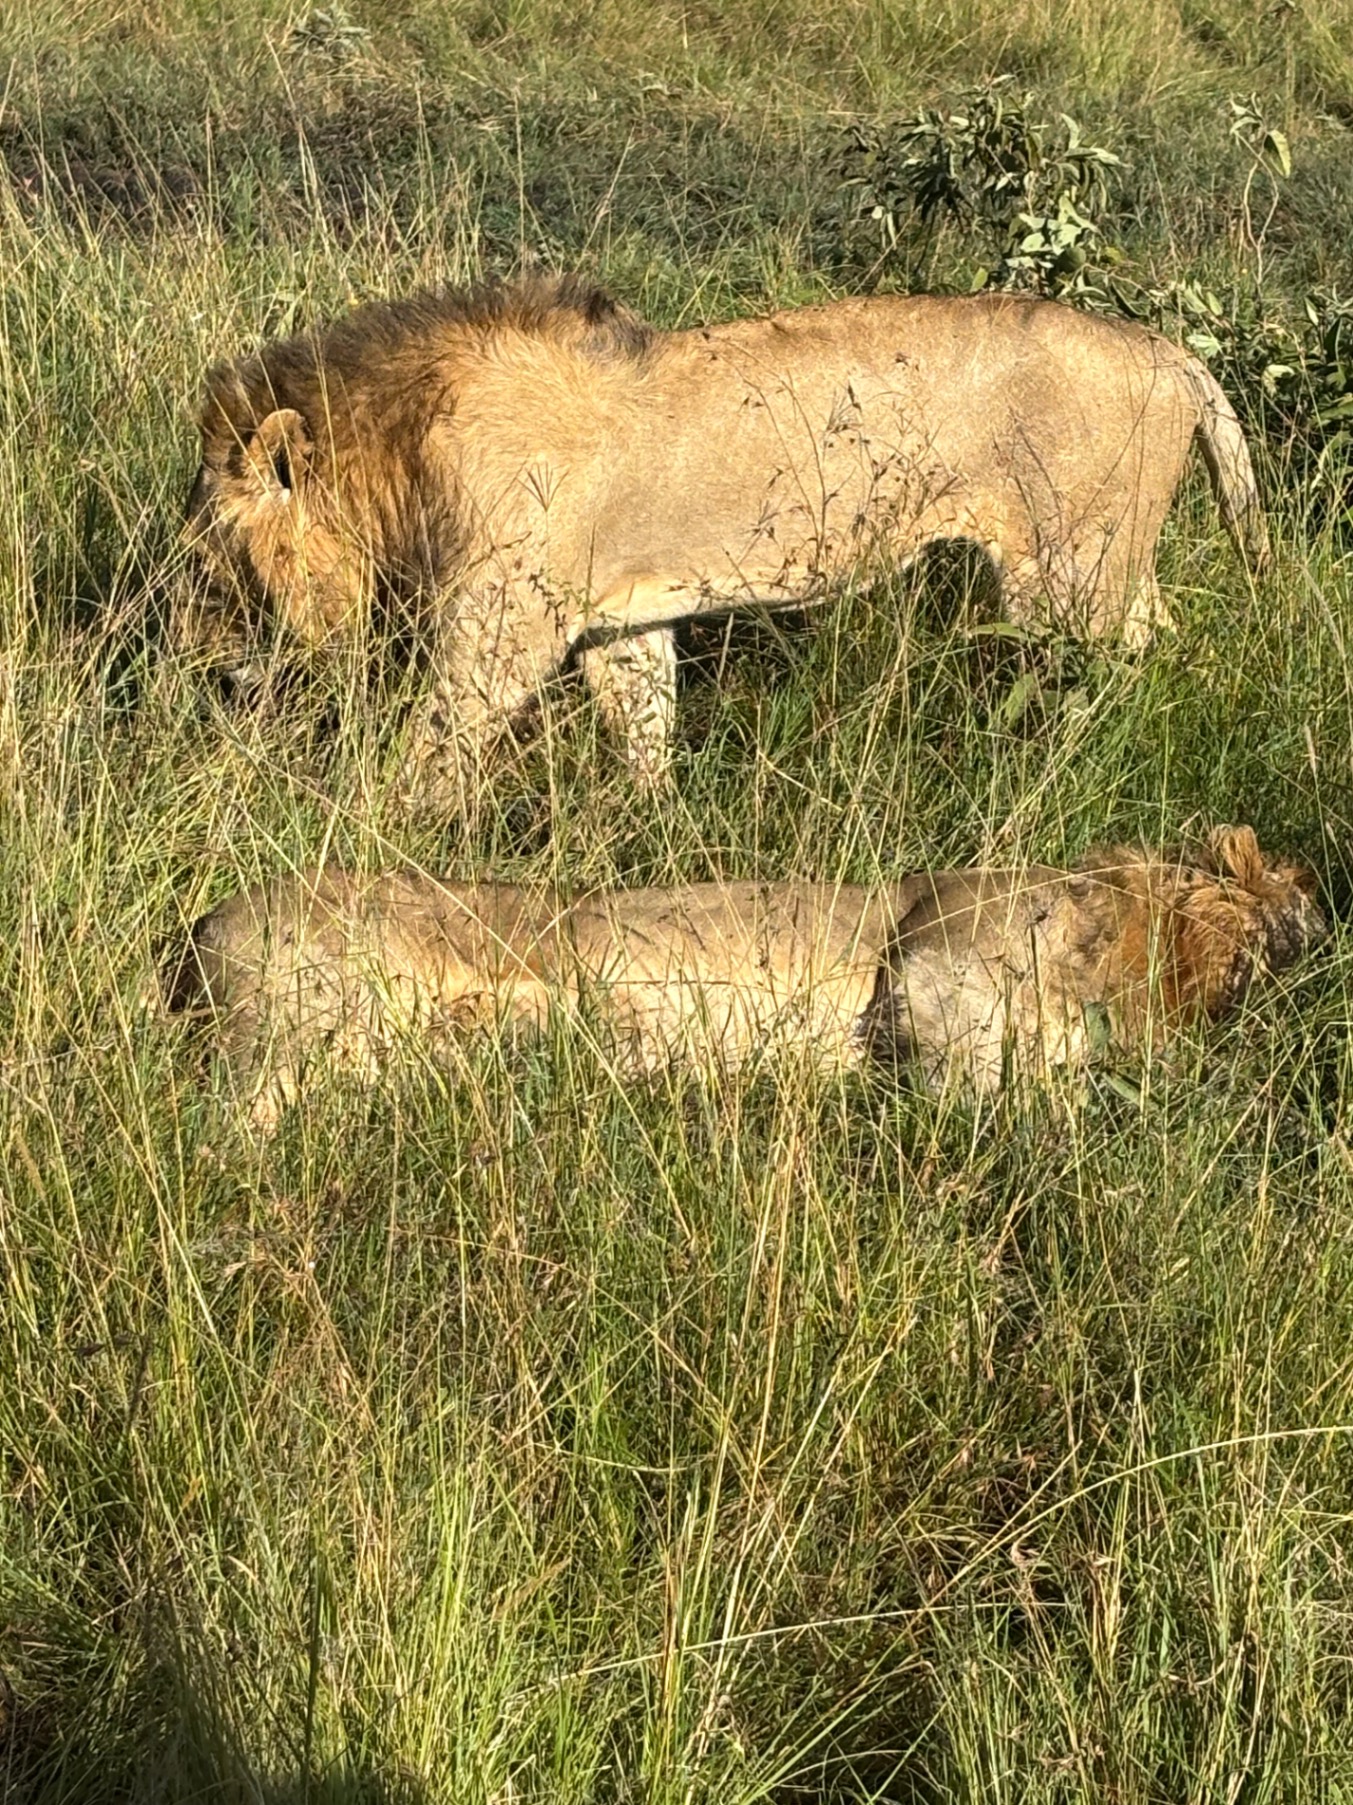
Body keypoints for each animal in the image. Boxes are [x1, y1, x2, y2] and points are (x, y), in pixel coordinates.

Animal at [161, 827, 1320, 1132]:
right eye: (1296, 911)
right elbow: (972, 1078)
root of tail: (199, 922)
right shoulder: (929, 964)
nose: (1311, 939)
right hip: (303, 1026)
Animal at [179, 275, 1269, 807]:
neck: (400, 454)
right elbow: (645, 732)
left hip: (1070, 573)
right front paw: (654, 834)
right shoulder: (616, 623)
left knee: (1127, 670)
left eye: (205, 564)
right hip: (1107, 570)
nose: (203, 670)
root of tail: (1171, 351)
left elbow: (430, 752)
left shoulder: (500, 631)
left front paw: (358, 835)